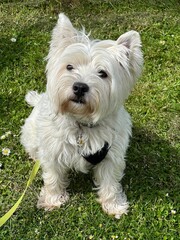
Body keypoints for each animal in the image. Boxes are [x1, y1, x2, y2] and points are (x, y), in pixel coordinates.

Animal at [20, 13, 143, 219]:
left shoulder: (112, 156)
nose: (79, 87)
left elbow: (110, 182)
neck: (82, 123)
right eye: (69, 66)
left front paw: (113, 205)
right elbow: (53, 177)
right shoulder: (53, 152)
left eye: (103, 73)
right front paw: (52, 199)